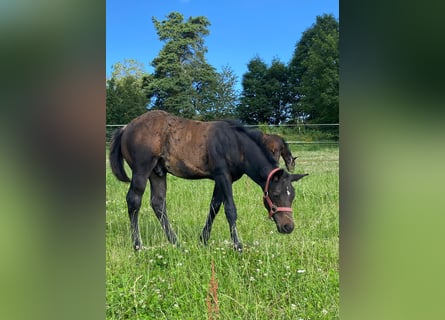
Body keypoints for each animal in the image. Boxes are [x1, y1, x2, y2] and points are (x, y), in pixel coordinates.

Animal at [109, 111, 306, 251]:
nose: (288, 227)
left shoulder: (222, 179)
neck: (237, 144)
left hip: (157, 173)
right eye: (275, 194)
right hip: (141, 170)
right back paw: (138, 246)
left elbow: (214, 207)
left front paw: (203, 241)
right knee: (134, 201)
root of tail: (126, 128)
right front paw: (238, 246)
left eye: (292, 196)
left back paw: (177, 244)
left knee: (158, 203)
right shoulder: (222, 175)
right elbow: (230, 210)